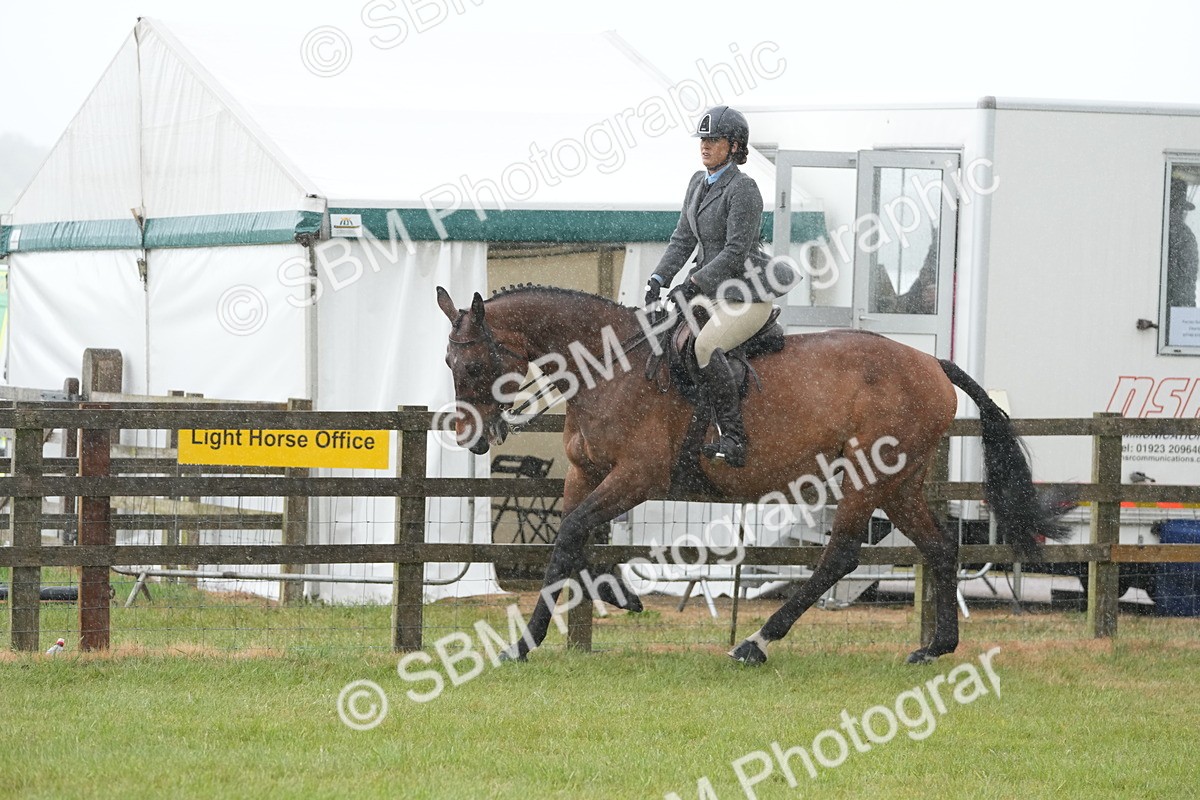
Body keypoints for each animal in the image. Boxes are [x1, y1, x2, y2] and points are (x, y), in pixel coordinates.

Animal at [436, 284, 1068, 665]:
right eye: (448, 362)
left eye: (475, 363)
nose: (471, 437)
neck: (608, 366)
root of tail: (931, 362)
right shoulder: (582, 473)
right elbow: (572, 537)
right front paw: (614, 594)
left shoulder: (636, 476)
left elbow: (571, 534)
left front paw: (525, 643)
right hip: (901, 484)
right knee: (940, 548)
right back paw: (936, 648)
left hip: (868, 477)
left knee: (841, 555)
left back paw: (757, 642)